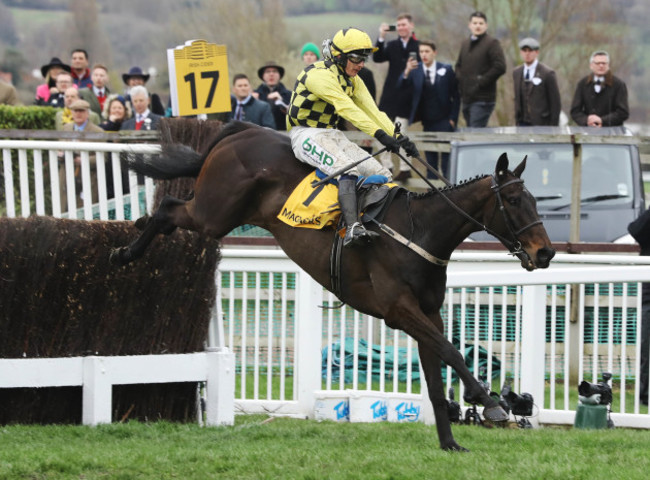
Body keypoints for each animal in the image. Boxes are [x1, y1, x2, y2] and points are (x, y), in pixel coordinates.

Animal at [110, 120, 552, 450]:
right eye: (514, 201)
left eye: (535, 200)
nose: (545, 252)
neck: (420, 230)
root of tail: (240, 132)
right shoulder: (399, 310)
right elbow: (452, 352)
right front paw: (490, 402)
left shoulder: (428, 312)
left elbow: (435, 374)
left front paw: (450, 443)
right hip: (214, 213)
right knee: (169, 209)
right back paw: (124, 253)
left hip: (217, 213)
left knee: (168, 212)